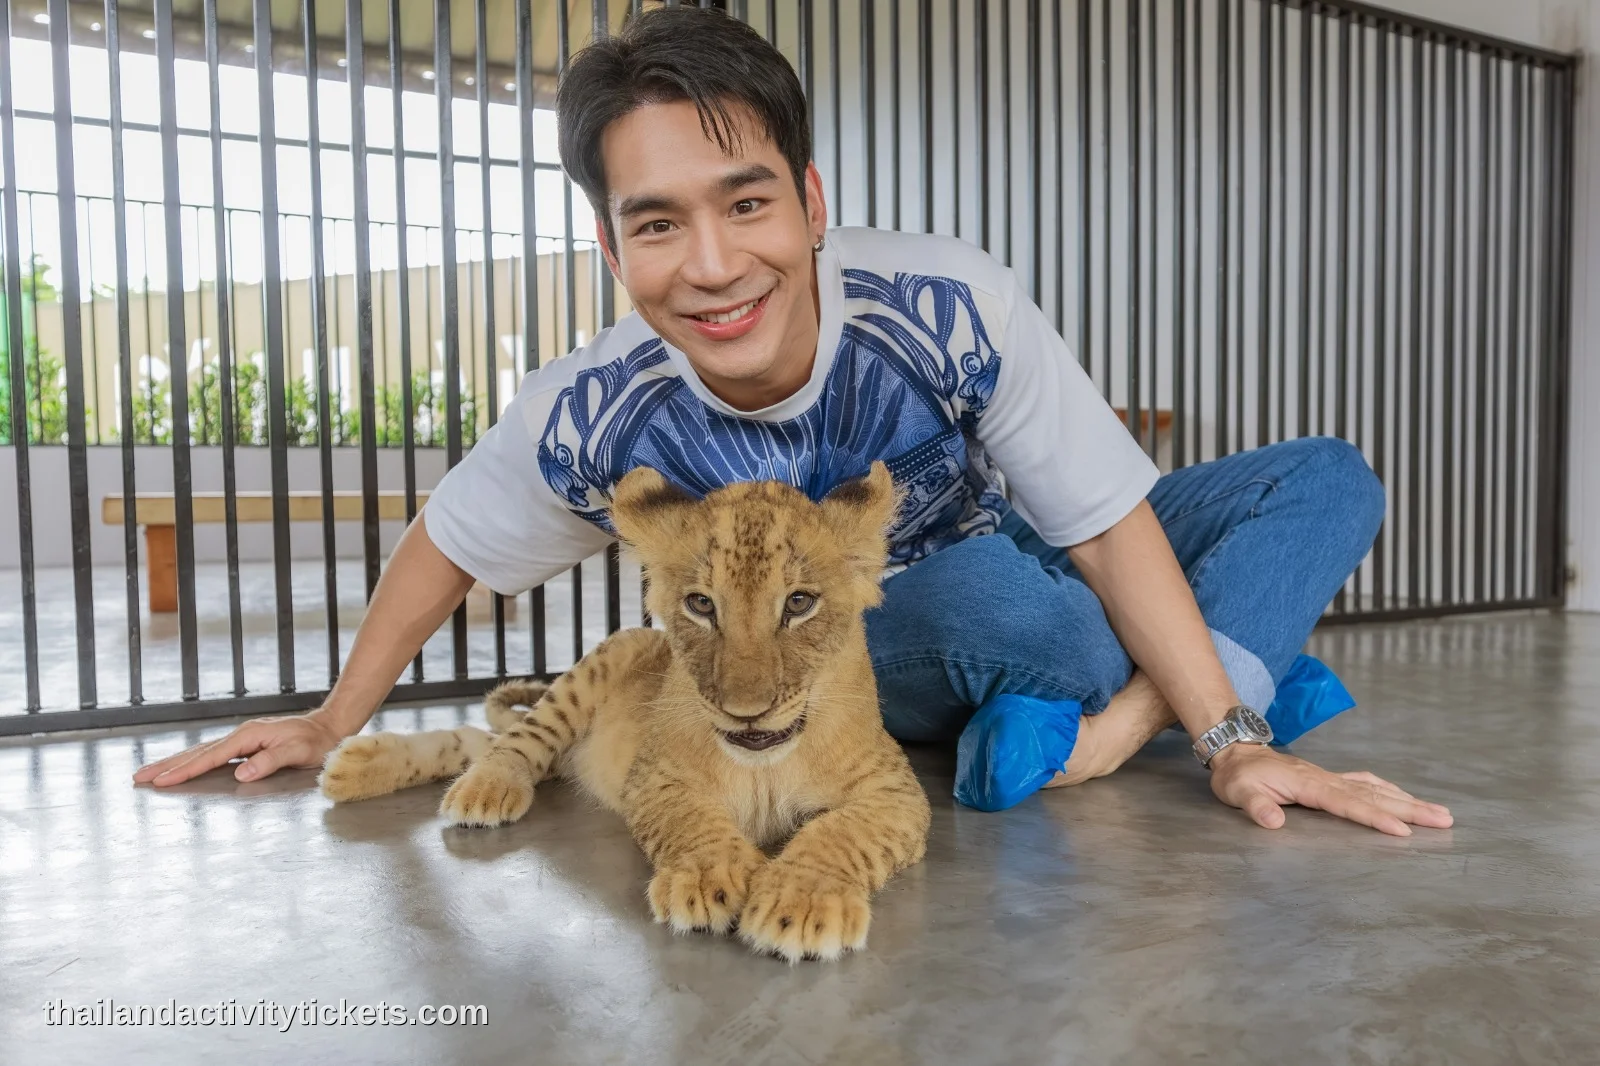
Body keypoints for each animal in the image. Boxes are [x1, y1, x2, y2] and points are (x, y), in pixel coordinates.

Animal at [318, 462, 931, 962]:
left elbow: (842, 831)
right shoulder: (654, 777)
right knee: (516, 740)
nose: (745, 712)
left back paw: (357, 762)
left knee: (486, 740)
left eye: (800, 603)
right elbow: (691, 820)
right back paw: (467, 784)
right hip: (599, 665)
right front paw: (710, 876)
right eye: (701, 604)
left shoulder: (896, 792)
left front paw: (801, 902)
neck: (767, 763)